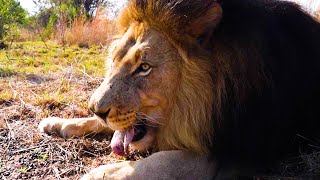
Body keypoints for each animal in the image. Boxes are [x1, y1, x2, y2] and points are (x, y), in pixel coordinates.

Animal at [38, 0, 320, 179]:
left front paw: (100, 173)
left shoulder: (226, 150)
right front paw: (59, 122)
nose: (96, 109)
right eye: (114, 59)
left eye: (144, 67)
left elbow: (157, 163)